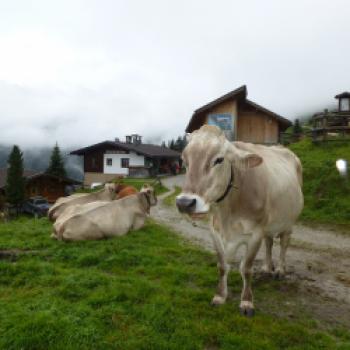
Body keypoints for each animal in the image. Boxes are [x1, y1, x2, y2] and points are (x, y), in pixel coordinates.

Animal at [176, 126, 302, 318]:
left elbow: (246, 268)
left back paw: (280, 270)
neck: (227, 215)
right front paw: (220, 296)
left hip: (289, 222)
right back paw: (267, 267)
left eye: (219, 159)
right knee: (269, 242)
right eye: (184, 160)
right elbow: (222, 266)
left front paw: (247, 302)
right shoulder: (215, 232)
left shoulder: (255, 233)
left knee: (284, 243)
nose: (184, 203)